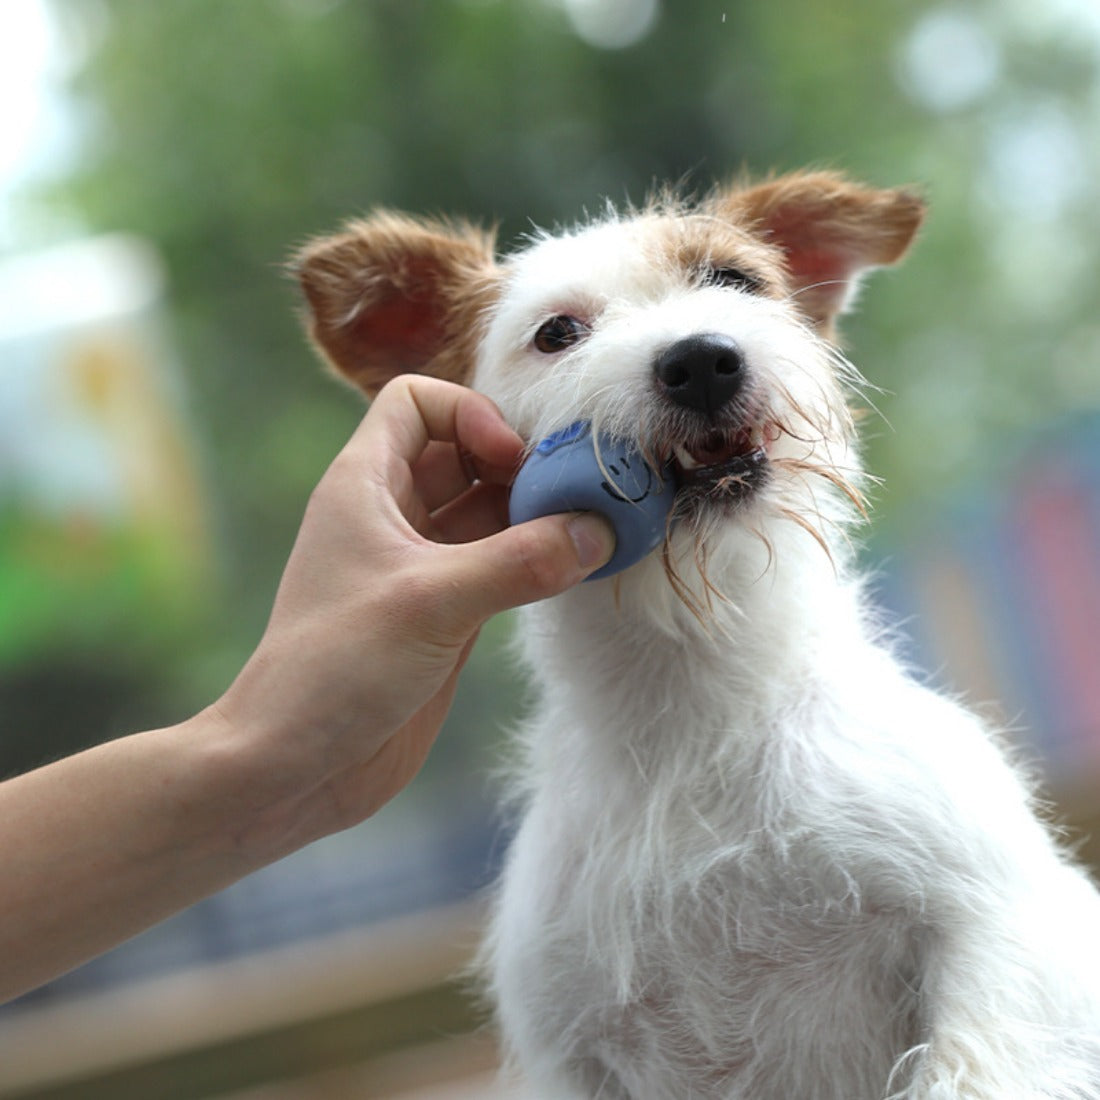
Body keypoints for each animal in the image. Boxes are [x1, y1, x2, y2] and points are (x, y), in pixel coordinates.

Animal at [294, 171, 1100, 1100]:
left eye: (735, 280)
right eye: (557, 333)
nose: (702, 361)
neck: (696, 693)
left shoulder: (994, 930)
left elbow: (980, 1064)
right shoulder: (571, 1050)